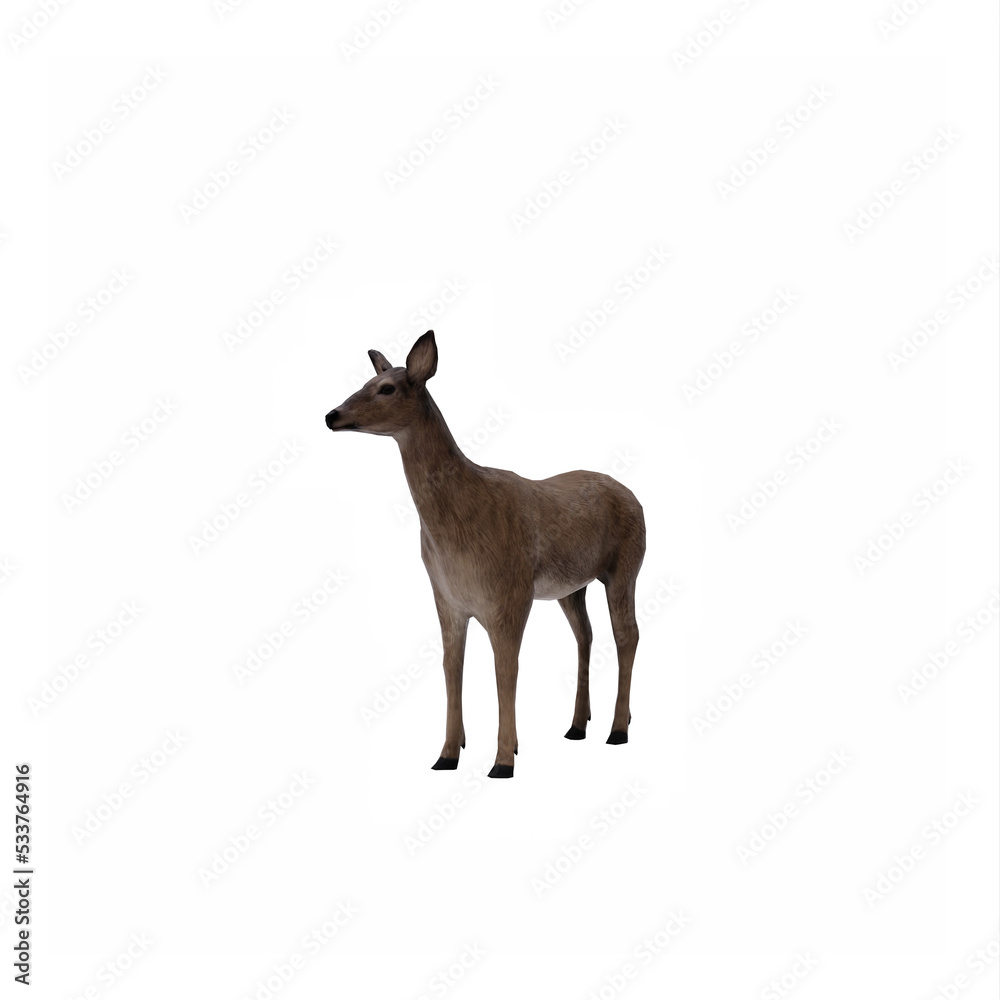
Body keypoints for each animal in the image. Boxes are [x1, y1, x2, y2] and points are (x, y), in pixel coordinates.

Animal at [325, 331, 645, 778]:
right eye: (366, 381)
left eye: (386, 388)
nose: (331, 415)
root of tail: (637, 499)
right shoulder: (447, 598)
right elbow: (451, 667)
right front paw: (447, 754)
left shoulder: (510, 593)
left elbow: (505, 670)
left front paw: (503, 761)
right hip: (571, 587)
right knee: (586, 634)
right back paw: (577, 726)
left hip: (627, 565)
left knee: (627, 634)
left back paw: (617, 729)